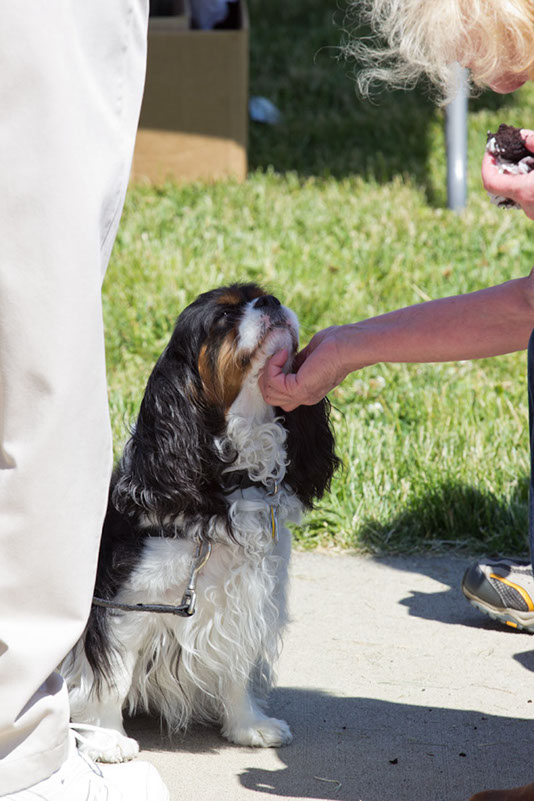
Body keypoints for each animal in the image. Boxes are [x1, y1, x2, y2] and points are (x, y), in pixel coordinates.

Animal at [61, 282, 340, 764]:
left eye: (262, 294)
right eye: (223, 318)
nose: (271, 302)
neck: (233, 479)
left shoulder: (245, 600)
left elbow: (237, 666)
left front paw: (248, 726)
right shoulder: (125, 607)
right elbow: (111, 676)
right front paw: (107, 739)